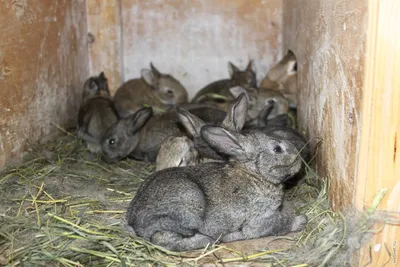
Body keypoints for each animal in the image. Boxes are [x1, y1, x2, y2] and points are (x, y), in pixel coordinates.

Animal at [126, 124, 308, 252]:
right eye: (277, 149)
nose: (299, 162)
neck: (254, 174)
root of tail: (134, 220)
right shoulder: (262, 219)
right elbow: (283, 224)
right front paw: (302, 220)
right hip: (189, 205)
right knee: (162, 238)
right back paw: (207, 240)